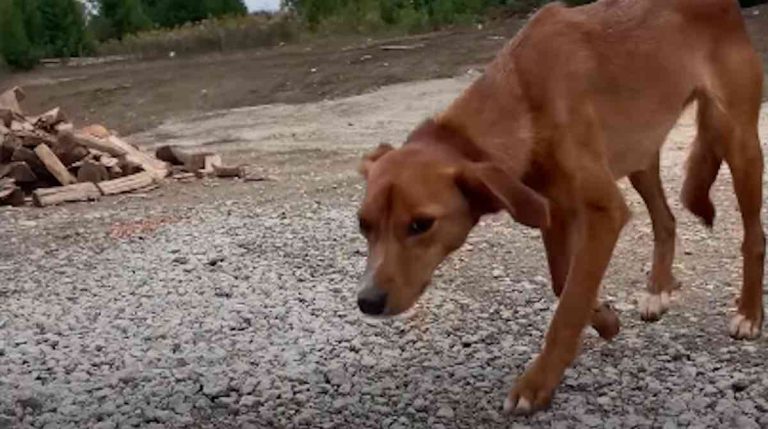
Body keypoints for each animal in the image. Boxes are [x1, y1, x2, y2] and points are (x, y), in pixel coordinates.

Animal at [356, 0, 760, 414]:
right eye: (363, 225)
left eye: (421, 224)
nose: (367, 302)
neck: (522, 96)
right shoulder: (552, 209)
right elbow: (562, 281)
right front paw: (605, 319)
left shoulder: (604, 212)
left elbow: (569, 305)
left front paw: (538, 382)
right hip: (640, 153)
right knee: (666, 220)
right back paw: (658, 290)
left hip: (738, 140)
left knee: (753, 236)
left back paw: (748, 314)